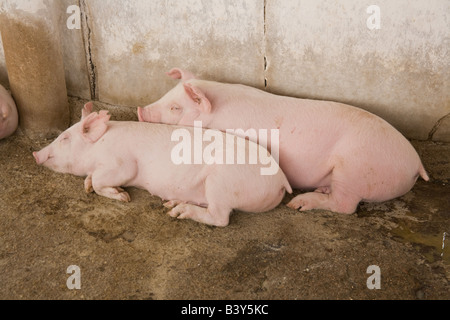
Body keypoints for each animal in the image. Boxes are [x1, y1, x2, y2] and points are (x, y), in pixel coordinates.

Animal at [32, 103, 292, 228]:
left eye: (65, 138)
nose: (36, 153)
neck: (98, 146)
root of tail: (281, 179)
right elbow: (91, 179)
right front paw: (87, 186)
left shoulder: (121, 163)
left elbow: (102, 179)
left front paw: (123, 196)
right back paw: (171, 204)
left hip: (222, 183)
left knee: (221, 217)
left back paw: (177, 212)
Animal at [137, 68, 428, 214]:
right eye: (166, 95)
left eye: (175, 108)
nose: (140, 110)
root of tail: (417, 164)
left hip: (355, 167)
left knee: (345, 205)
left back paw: (300, 203)